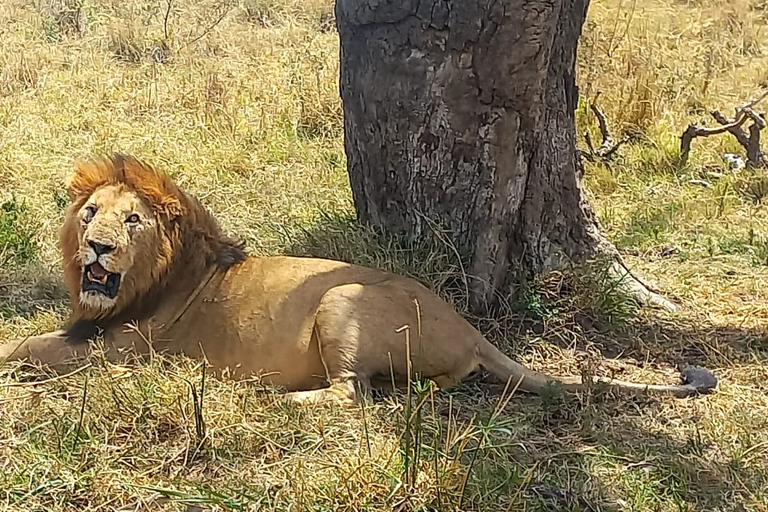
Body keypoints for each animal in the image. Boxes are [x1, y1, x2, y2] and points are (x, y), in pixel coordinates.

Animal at [1, 154, 720, 402]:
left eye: (132, 221)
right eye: (89, 213)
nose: (96, 249)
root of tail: (471, 329)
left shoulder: (123, 350)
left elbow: (28, 345)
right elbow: (33, 335)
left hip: (342, 297)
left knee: (352, 396)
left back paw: (267, 399)